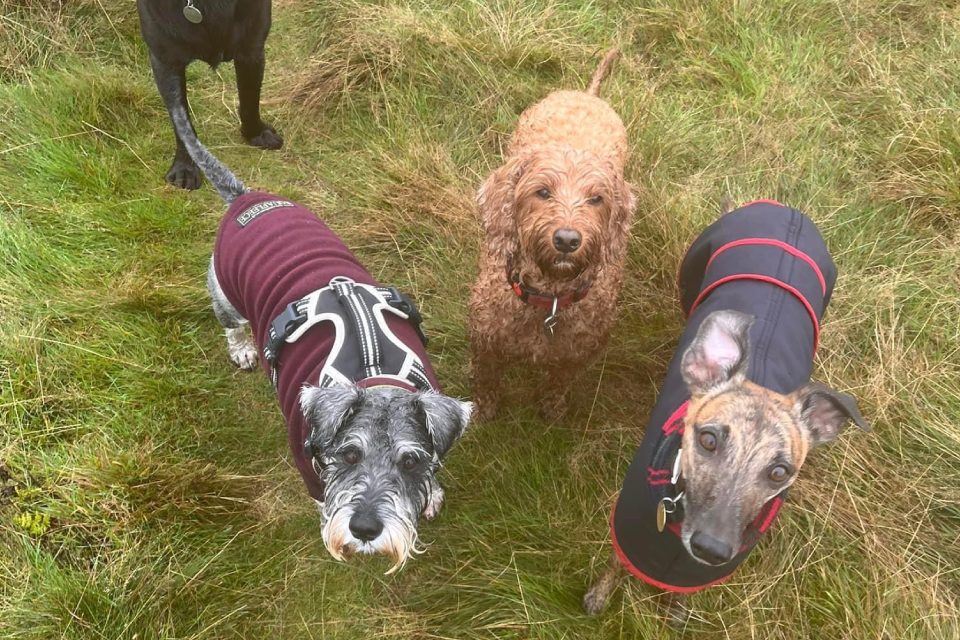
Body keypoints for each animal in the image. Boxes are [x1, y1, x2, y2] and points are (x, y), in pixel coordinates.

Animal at [137, 0, 284, 190]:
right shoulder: (166, 62)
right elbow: (182, 124)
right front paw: (185, 167)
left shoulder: (251, 48)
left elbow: (250, 100)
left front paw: (256, 133)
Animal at [468, 48, 632, 420]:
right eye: (542, 192)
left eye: (596, 199)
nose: (568, 240)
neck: (551, 300)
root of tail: (586, 95)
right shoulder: (485, 342)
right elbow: (486, 379)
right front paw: (483, 410)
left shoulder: (576, 354)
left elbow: (559, 382)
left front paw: (553, 408)